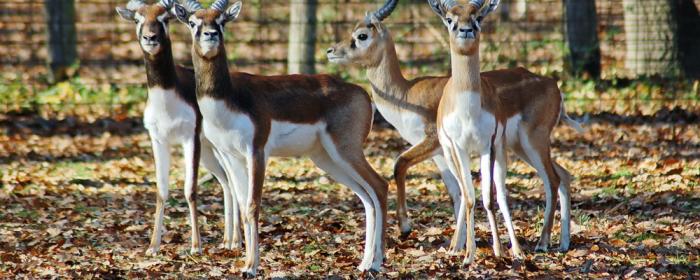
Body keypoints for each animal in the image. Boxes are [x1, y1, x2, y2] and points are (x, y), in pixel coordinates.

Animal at [116, 0, 242, 255]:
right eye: (138, 19)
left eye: (164, 19)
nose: (150, 38)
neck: (167, 102)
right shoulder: (158, 140)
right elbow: (161, 190)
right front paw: (153, 246)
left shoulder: (190, 139)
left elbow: (190, 190)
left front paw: (195, 246)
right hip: (209, 151)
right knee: (226, 182)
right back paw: (226, 240)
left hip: (217, 148)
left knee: (233, 182)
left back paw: (236, 241)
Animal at [171, 0, 388, 276]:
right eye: (192, 22)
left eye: (221, 21)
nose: (211, 35)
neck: (228, 97)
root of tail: (363, 94)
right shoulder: (231, 156)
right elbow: (242, 205)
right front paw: (246, 263)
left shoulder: (257, 151)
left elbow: (253, 205)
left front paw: (251, 267)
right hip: (326, 158)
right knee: (367, 197)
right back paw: (364, 263)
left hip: (346, 150)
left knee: (379, 186)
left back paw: (377, 264)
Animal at [430, 0, 584, 264]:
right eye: (450, 19)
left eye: (478, 17)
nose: (466, 30)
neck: (467, 107)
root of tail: (552, 84)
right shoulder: (458, 148)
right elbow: (469, 196)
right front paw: (465, 252)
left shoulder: (487, 145)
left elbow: (488, 198)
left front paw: (493, 251)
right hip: (518, 146)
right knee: (564, 175)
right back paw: (562, 243)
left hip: (533, 141)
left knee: (551, 179)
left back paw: (541, 243)